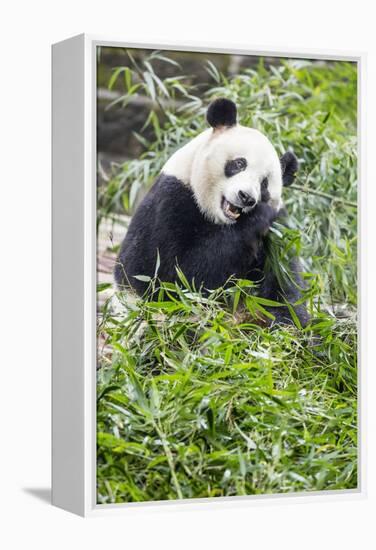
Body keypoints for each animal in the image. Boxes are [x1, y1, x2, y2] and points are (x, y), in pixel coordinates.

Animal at [114, 98, 308, 328]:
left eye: (264, 184)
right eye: (239, 163)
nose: (246, 197)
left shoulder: (279, 235)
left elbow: (283, 287)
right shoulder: (169, 204)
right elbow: (174, 278)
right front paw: (258, 217)